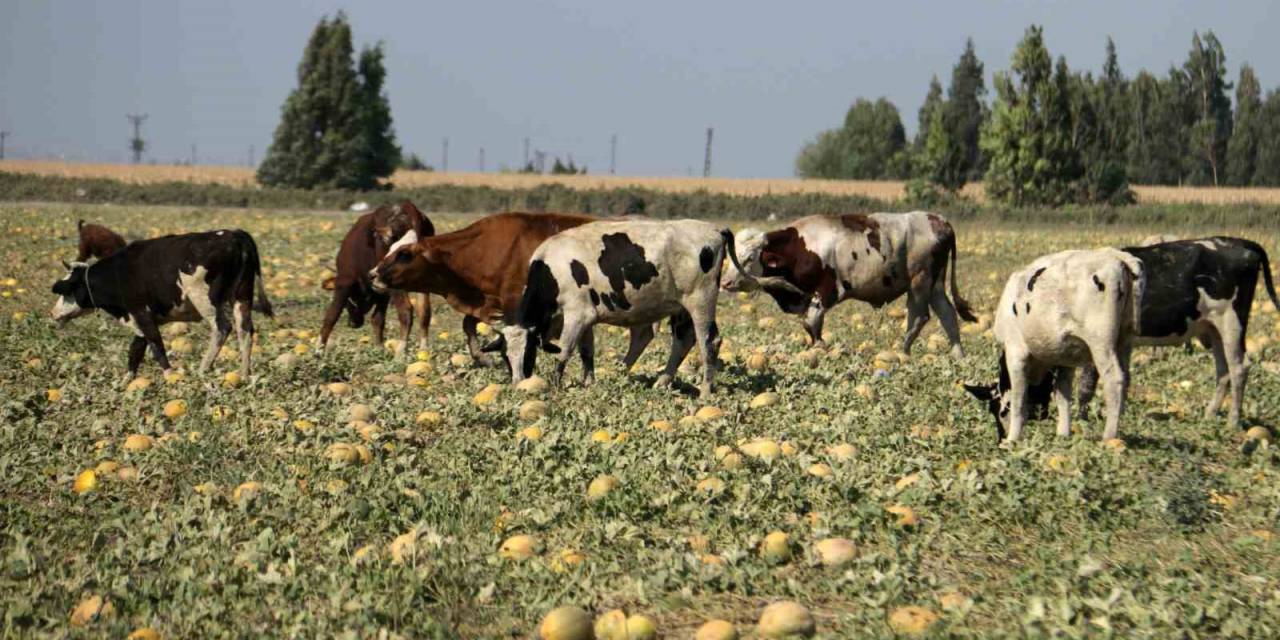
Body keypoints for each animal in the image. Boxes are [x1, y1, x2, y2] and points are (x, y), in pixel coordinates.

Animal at [371, 212, 660, 368]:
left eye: (404, 254)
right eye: (391, 248)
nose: (373, 274)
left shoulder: (515, 302)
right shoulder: (490, 301)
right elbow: (468, 324)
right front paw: (482, 357)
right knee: (642, 335)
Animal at [721, 212, 977, 358]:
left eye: (749, 258)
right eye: (732, 256)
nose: (725, 282)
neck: (801, 248)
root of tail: (940, 221)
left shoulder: (826, 292)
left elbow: (811, 323)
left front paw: (822, 349)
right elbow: (810, 325)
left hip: (920, 281)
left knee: (919, 317)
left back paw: (902, 354)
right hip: (935, 283)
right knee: (947, 314)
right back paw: (958, 356)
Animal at [962, 249, 1146, 445]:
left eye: (998, 410)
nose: (1000, 437)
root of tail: (1119, 258)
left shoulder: (1016, 352)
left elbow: (1019, 398)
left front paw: (1012, 439)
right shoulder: (1065, 359)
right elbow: (1062, 393)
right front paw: (1063, 433)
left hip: (1100, 343)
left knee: (1114, 379)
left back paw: (1108, 436)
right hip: (1125, 339)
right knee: (1125, 376)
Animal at [1080, 238, 1280, 427]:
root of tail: (1241, 242)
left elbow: (1087, 383)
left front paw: (1084, 418)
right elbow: (1123, 376)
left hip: (1232, 323)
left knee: (1239, 367)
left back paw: (1233, 421)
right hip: (1215, 330)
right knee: (1223, 371)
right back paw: (1210, 414)